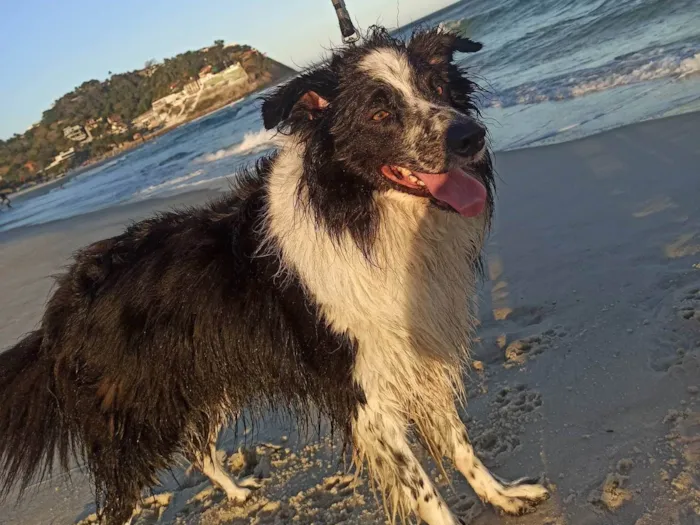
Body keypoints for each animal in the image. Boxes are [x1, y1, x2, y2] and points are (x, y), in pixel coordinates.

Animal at [0, 28, 548, 524]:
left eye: (437, 89)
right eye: (379, 114)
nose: (469, 136)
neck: (361, 216)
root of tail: (58, 313)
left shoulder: (417, 356)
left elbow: (460, 444)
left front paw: (502, 496)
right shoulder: (363, 392)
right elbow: (424, 490)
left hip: (203, 378)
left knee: (199, 449)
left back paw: (238, 492)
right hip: (135, 425)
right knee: (118, 503)